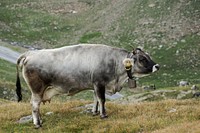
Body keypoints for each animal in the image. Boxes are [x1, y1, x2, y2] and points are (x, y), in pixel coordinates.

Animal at [15, 44, 159, 128]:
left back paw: (40, 120)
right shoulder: (99, 83)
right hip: (37, 90)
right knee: (34, 105)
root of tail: (29, 54)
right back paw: (37, 123)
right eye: (142, 59)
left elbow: (95, 99)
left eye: (148, 55)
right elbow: (102, 99)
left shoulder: (95, 85)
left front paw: (94, 112)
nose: (157, 66)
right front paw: (103, 114)